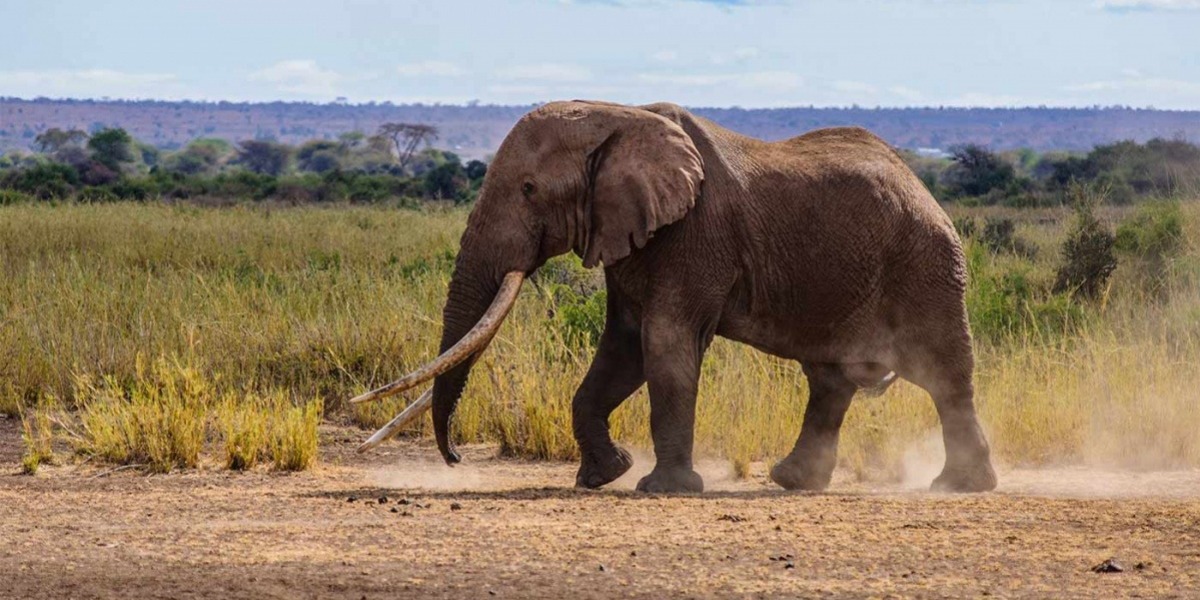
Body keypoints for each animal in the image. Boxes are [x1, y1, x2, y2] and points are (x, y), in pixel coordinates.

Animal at [350, 97, 998, 492]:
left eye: (529, 189)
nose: (456, 459)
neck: (614, 115)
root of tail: (924, 187)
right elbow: (623, 350)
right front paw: (603, 476)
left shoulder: (694, 234)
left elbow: (665, 345)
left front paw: (661, 489)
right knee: (830, 380)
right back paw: (793, 482)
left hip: (927, 266)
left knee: (944, 375)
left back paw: (959, 487)